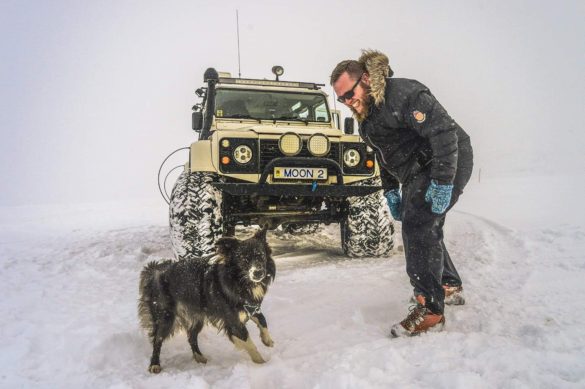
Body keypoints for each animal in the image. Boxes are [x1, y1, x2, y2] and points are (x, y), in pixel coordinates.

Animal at [138, 227, 274, 372]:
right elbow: (250, 343)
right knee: (157, 339)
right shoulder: (233, 322)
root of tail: (155, 270)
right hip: (165, 316)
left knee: (191, 337)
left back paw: (200, 358)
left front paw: (267, 340)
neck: (239, 281)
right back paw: (155, 364)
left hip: (197, 316)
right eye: (244, 259)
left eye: (261, 255)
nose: (258, 273)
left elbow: (263, 320)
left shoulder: (250, 306)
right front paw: (262, 365)